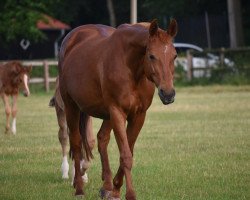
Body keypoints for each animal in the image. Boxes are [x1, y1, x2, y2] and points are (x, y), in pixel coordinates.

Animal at [58, 19, 177, 200]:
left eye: (175, 55)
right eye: (151, 55)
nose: (168, 93)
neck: (131, 67)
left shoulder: (138, 115)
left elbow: (128, 151)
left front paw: (114, 189)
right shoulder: (117, 112)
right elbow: (126, 155)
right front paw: (130, 194)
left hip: (106, 115)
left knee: (102, 139)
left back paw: (106, 186)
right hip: (72, 106)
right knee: (77, 143)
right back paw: (79, 188)